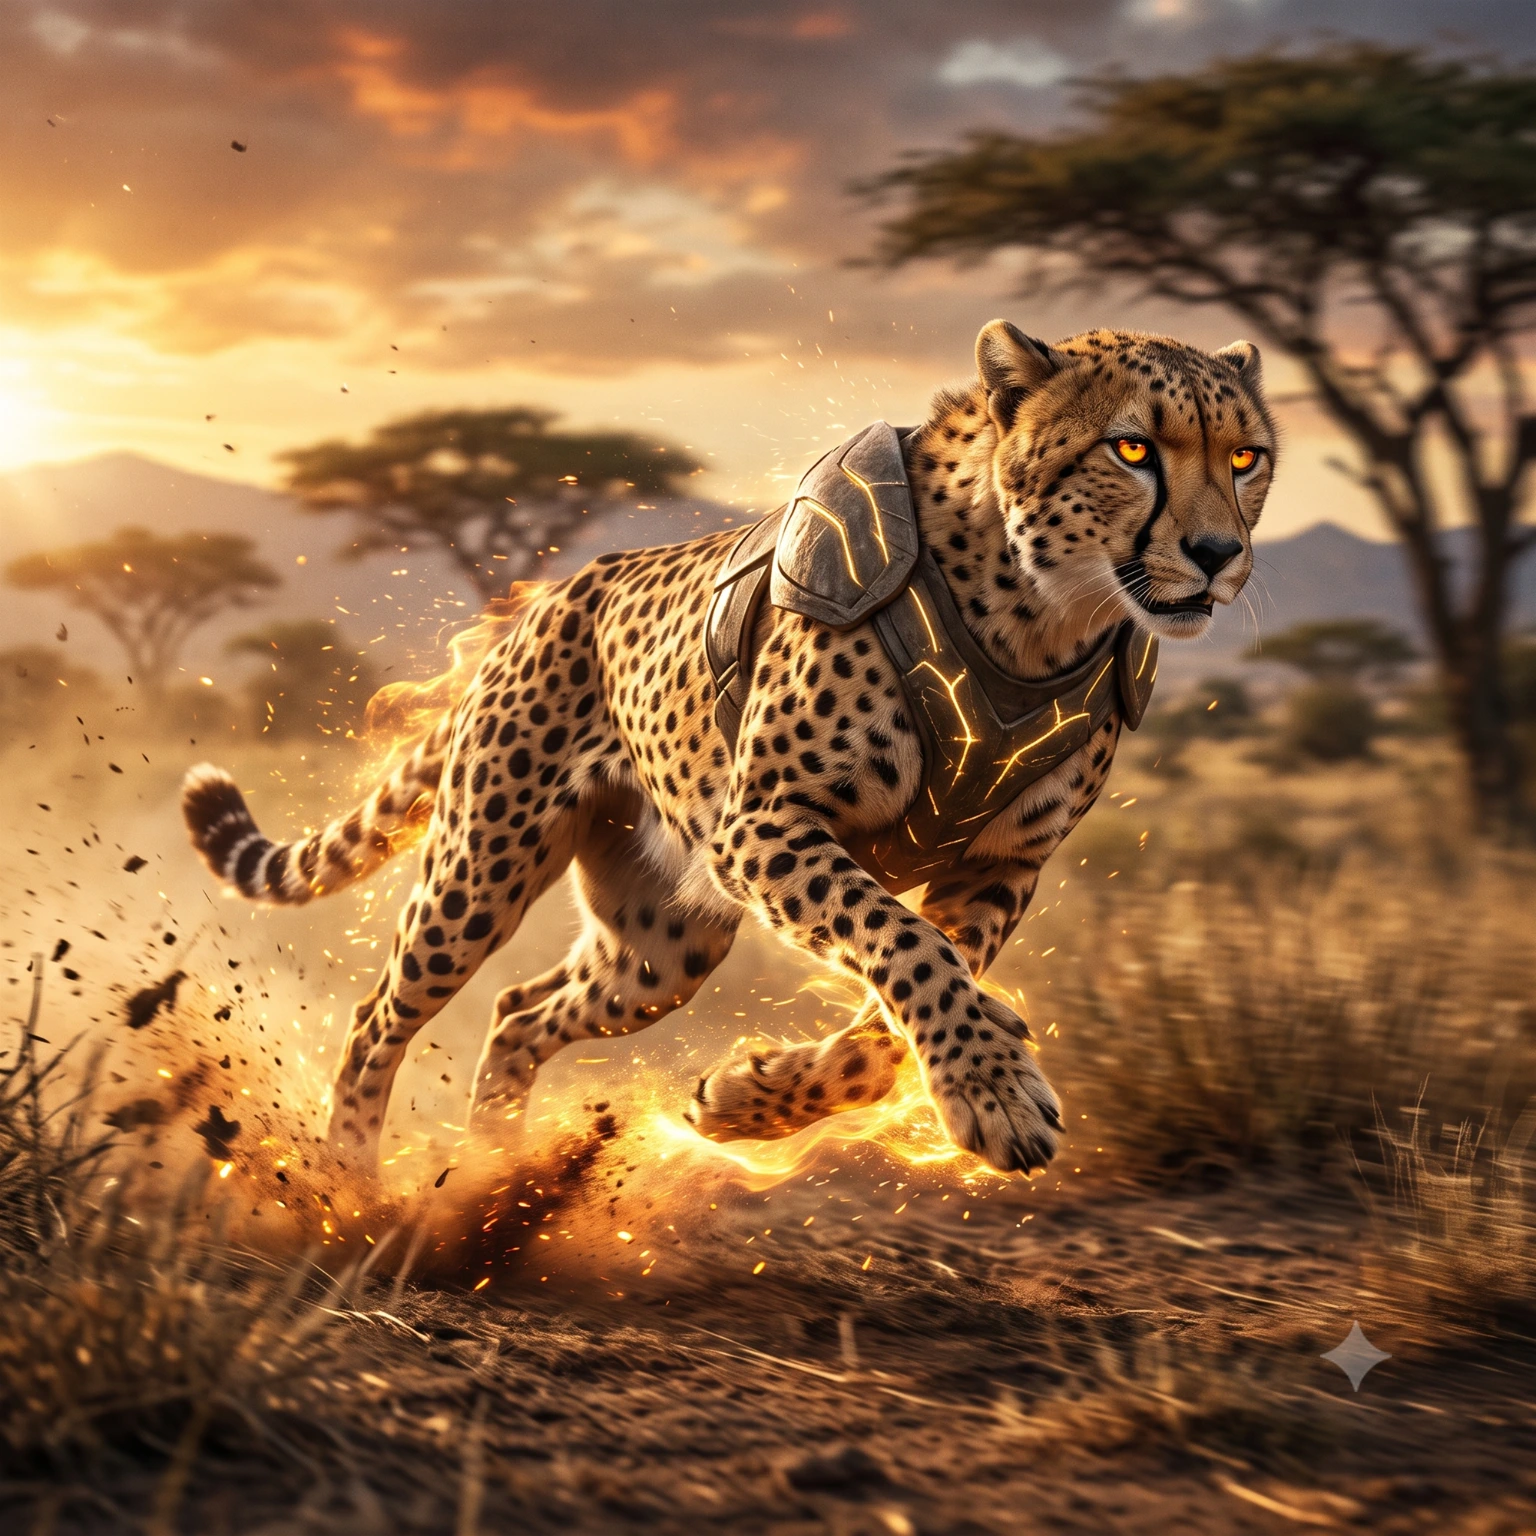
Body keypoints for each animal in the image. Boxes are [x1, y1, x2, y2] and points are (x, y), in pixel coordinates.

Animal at [182, 320, 1275, 1177]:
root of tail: (544, 599)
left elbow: (903, 1000)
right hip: (483, 867)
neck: (1041, 616)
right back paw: (350, 1182)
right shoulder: (764, 825)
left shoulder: (1002, 866)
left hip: (664, 943)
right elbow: (906, 946)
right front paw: (992, 1087)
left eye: (1246, 459)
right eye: (1132, 448)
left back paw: (497, 1172)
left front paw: (755, 1100)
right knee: (383, 1013)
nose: (1220, 555)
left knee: (523, 1011)